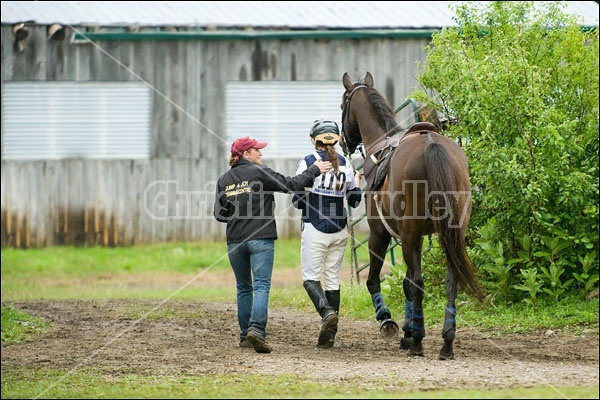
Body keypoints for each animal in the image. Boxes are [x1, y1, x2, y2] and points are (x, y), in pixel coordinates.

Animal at [340, 72, 486, 360]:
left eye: (343, 104)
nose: (342, 141)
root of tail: (431, 146)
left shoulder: (381, 234)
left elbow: (377, 281)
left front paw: (392, 323)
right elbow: (407, 283)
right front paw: (409, 331)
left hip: (408, 234)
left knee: (417, 281)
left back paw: (419, 341)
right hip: (449, 234)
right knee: (450, 280)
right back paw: (446, 342)